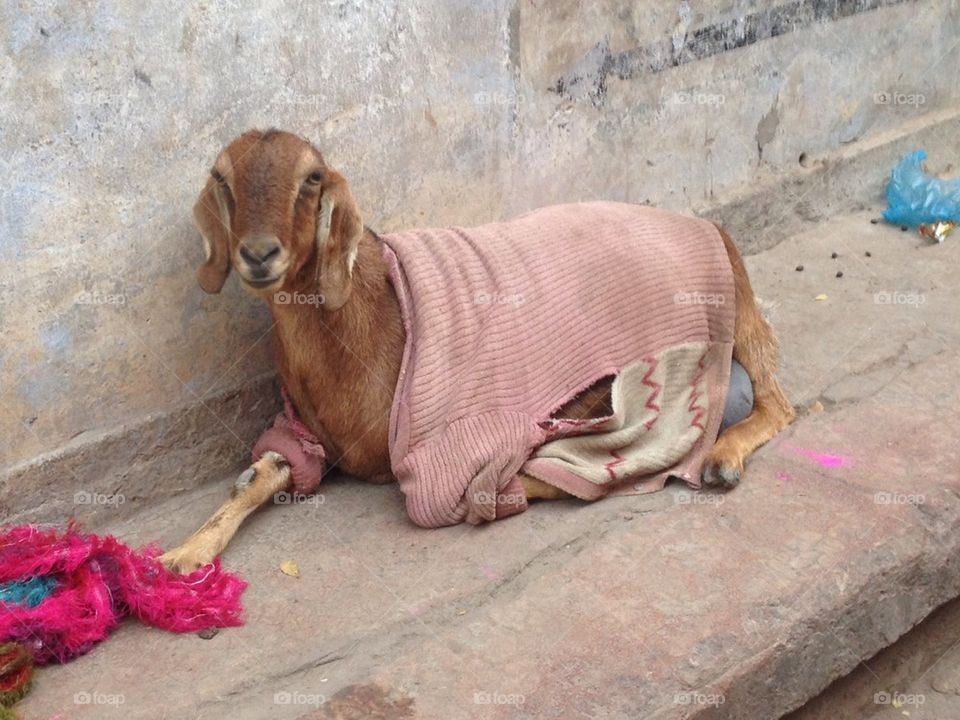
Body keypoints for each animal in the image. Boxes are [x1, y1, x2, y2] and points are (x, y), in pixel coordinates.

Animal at [161, 129, 796, 572]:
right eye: (221, 177)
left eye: (312, 177)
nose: (258, 254)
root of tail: (705, 225)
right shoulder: (307, 436)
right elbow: (266, 473)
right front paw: (181, 554)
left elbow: (479, 490)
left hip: (738, 316)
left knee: (777, 403)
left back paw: (720, 459)